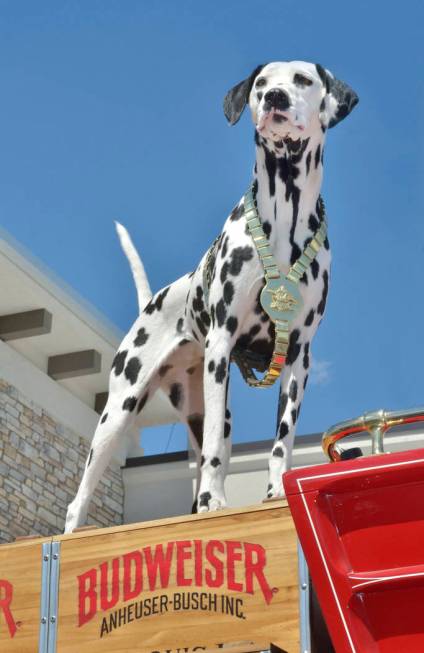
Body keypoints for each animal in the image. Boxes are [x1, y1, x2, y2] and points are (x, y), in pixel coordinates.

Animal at [64, 58, 360, 532]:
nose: (274, 97)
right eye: (262, 83)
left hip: (204, 410)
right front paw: (211, 502)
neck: (285, 216)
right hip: (119, 410)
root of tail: (152, 302)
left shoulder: (299, 356)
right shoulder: (222, 339)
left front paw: (275, 492)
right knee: (81, 498)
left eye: (302, 80)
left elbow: (282, 441)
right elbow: (214, 455)